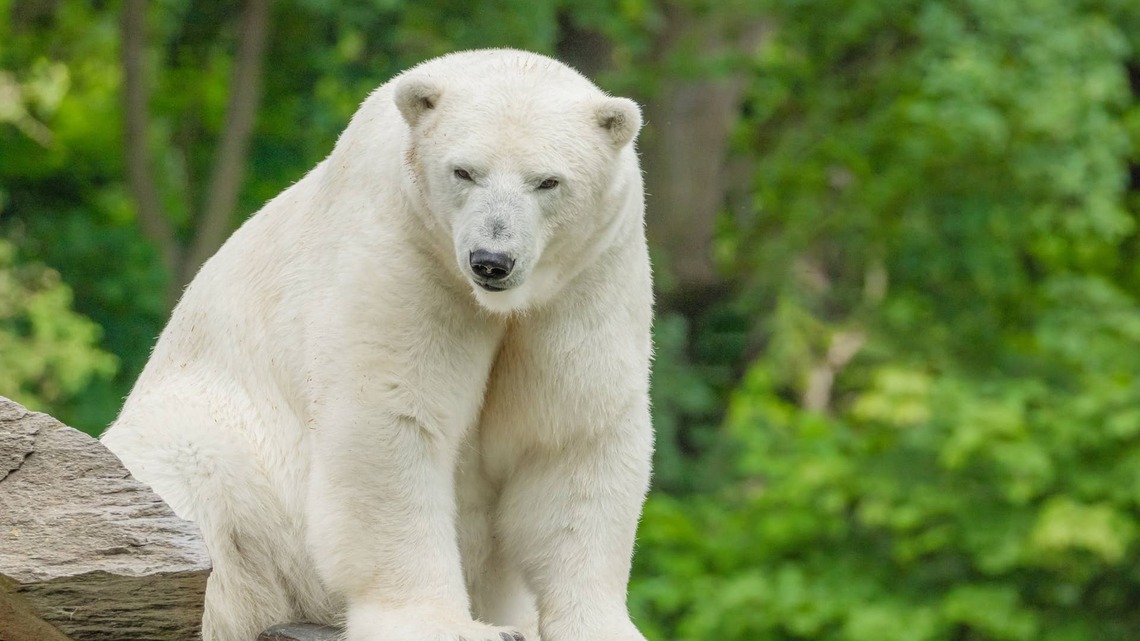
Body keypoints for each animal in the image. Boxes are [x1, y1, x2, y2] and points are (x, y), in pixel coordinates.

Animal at [101, 49, 653, 641]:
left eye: (547, 181)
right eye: (464, 171)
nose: (491, 260)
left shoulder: (587, 277)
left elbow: (570, 433)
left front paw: (601, 626)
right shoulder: (404, 249)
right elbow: (392, 416)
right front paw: (442, 623)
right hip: (214, 449)